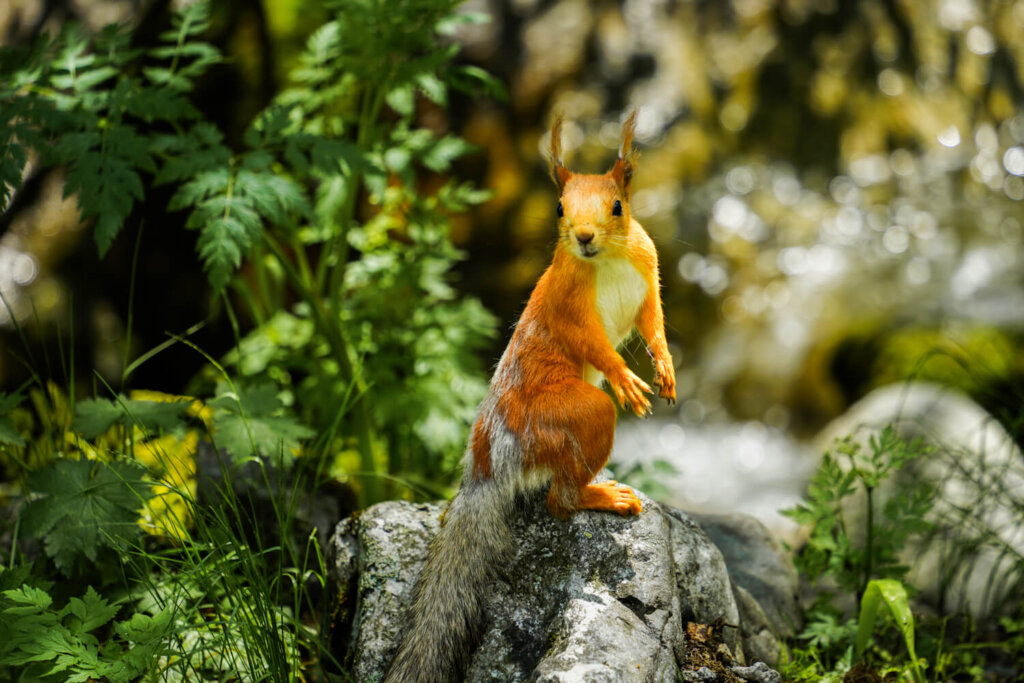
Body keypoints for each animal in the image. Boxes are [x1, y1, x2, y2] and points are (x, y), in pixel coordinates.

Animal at [383, 109, 676, 683]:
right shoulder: (568, 307)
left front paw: (666, 368)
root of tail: (487, 464)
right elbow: (593, 344)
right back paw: (603, 495)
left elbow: (653, 324)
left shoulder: (648, 275)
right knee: (559, 500)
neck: (606, 262)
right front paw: (625, 379)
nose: (582, 237)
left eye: (618, 205)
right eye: (560, 206)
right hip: (566, 416)